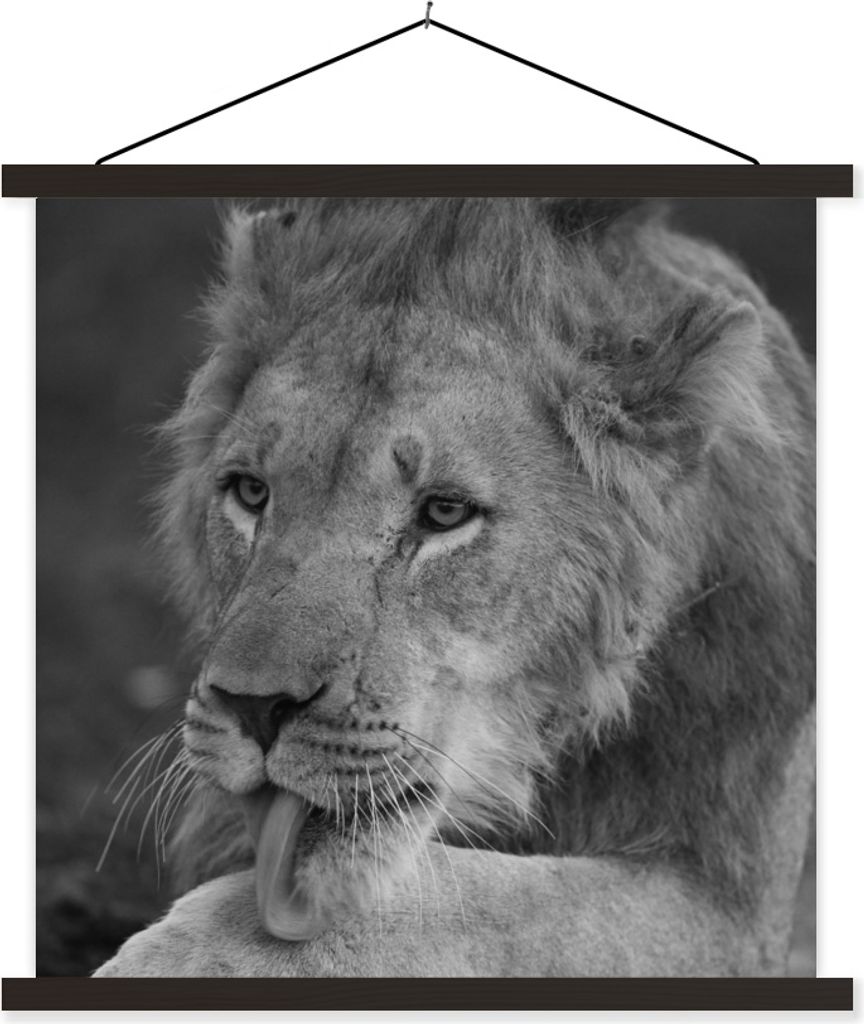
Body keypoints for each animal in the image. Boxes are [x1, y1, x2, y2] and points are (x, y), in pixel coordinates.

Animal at [95, 198, 815, 977]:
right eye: (251, 493)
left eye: (444, 512)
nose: (252, 707)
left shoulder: (733, 911)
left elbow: (488, 903)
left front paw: (181, 959)